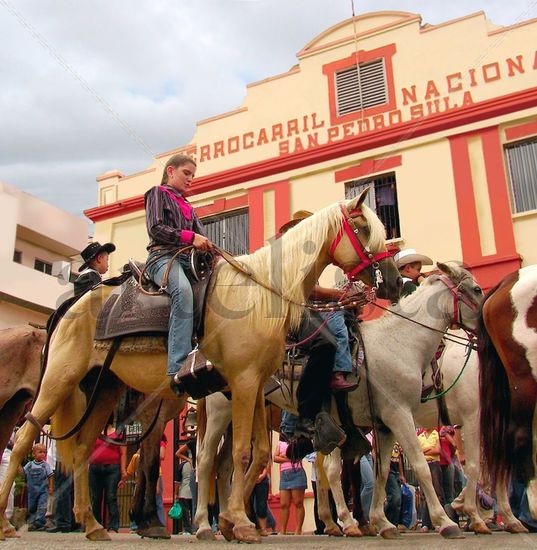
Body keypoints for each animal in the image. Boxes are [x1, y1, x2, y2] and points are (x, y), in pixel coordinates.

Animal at [0, 192, 400, 544]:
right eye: (363, 227)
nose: (393, 280)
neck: (260, 294)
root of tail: (71, 306)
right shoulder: (242, 382)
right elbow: (241, 453)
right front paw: (240, 522)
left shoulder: (255, 386)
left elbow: (258, 453)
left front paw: (232, 521)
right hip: (59, 380)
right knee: (23, 441)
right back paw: (10, 525)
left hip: (104, 388)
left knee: (83, 450)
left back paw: (93, 525)